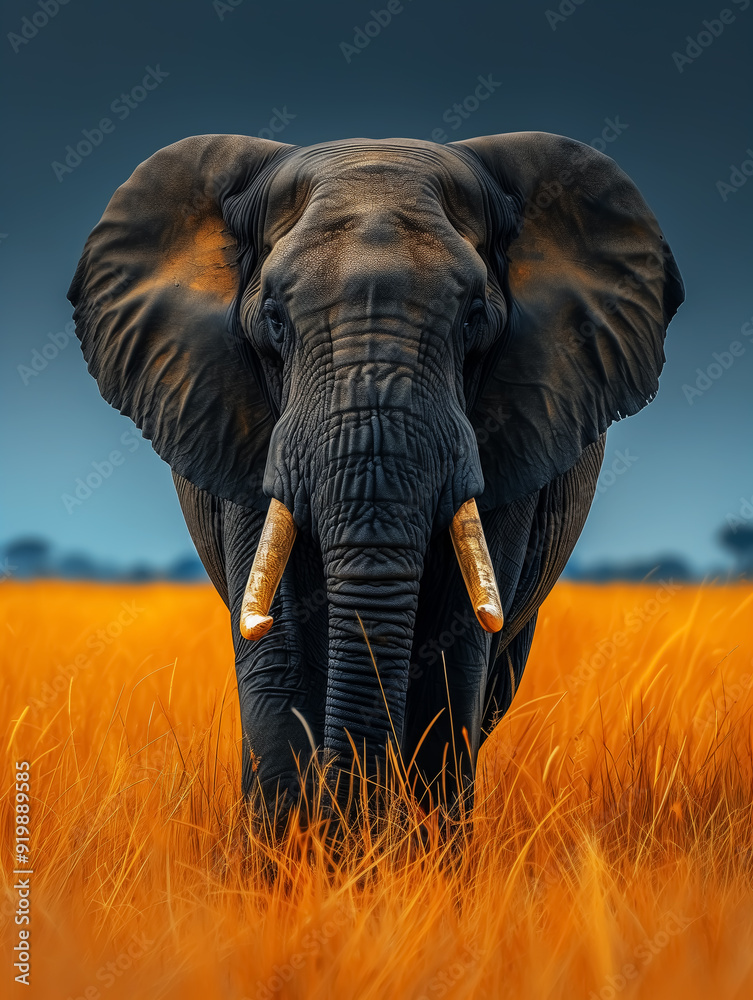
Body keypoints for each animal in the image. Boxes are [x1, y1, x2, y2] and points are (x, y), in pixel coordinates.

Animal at [68, 131, 683, 827]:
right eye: (274, 319)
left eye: (475, 316)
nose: (357, 821)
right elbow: (279, 652)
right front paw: (301, 850)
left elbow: (452, 654)